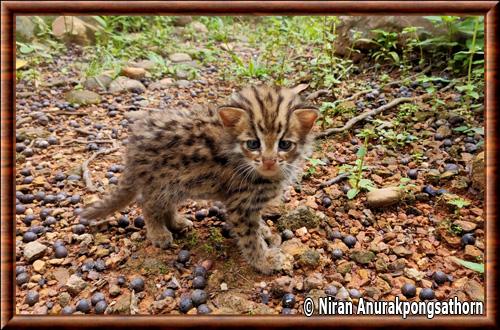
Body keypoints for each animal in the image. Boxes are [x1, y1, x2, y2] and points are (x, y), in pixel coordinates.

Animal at [81, 84, 316, 274]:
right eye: (253, 144)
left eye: (284, 144)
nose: (268, 161)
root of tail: (133, 150)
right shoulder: (240, 205)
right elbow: (249, 238)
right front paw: (263, 260)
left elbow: (257, 224)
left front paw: (265, 231)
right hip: (161, 182)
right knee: (148, 204)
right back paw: (158, 233)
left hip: (176, 184)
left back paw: (176, 223)